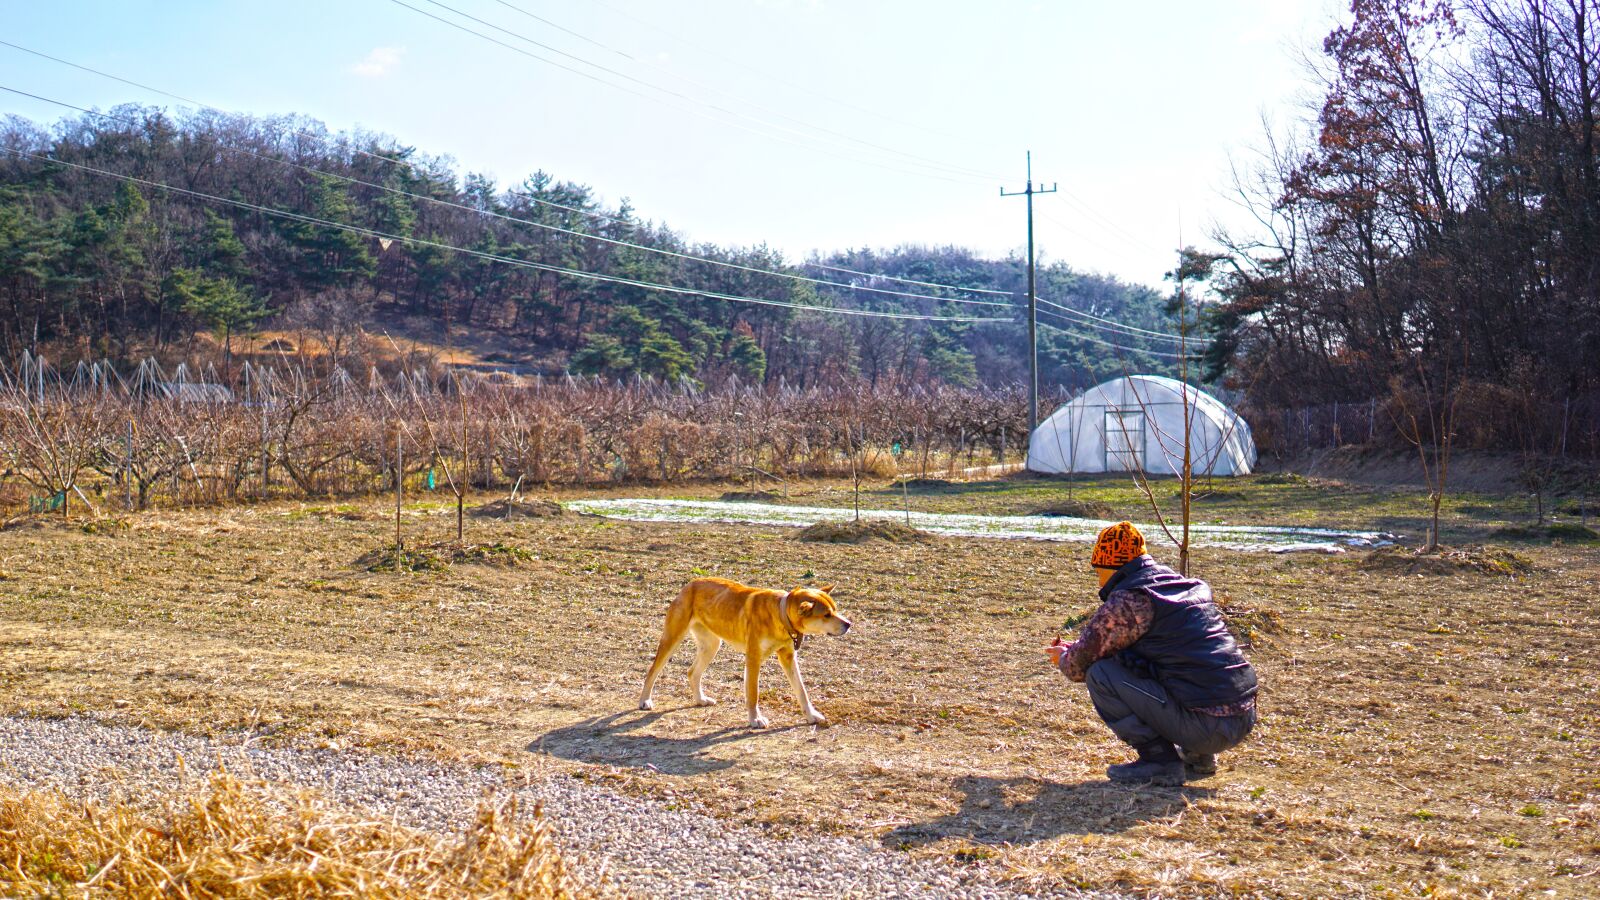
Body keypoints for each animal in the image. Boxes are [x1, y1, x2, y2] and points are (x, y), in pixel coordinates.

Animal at [640, 573, 851, 730]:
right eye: (826, 615)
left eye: (835, 609)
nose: (849, 624)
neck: (780, 614)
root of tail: (690, 583)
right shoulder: (753, 659)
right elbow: (753, 693)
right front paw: (755, 719)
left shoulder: (788, 657)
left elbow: (801, 690)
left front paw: (811, 715)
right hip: (672, 640)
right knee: (652, 671)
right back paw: (645, 701)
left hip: (711, 646)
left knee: (692, 672)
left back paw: (700, 699)